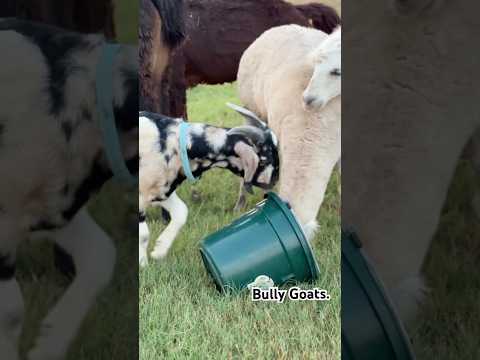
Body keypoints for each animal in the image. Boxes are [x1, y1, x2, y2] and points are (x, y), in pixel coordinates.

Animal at [139, 111, 280, 266]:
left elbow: (181, 212)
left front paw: (159, 250)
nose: (276, 180)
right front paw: (143, 265)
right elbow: (143, 234)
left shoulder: (161, 191)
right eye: (264, 160)